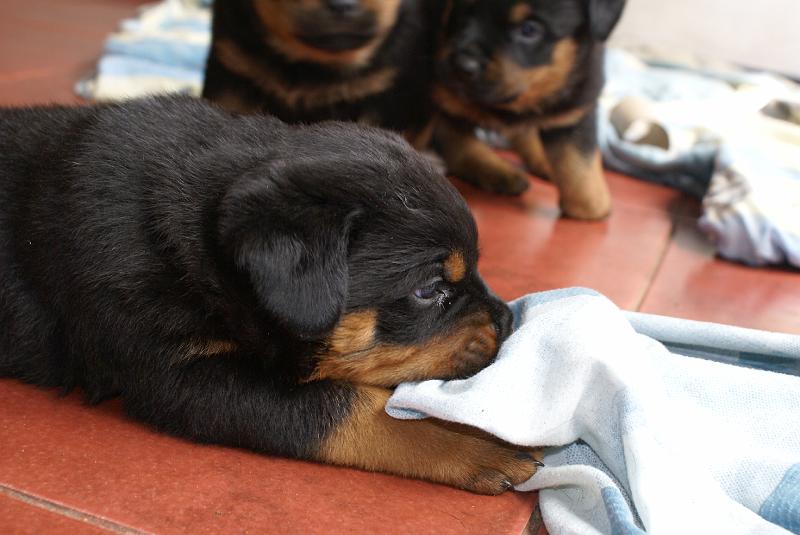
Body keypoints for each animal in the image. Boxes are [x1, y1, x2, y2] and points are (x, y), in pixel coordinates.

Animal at [434, 0, 626, 219]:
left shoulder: (574, 108)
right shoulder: (443, 99)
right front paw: (495, 170)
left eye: (529, 29)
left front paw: (587, 207)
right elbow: (462, 145)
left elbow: (580, 169)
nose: (463, 66)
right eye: (464, 9)